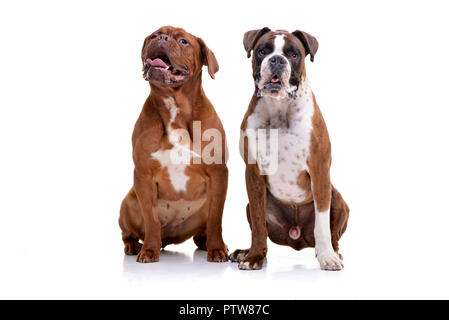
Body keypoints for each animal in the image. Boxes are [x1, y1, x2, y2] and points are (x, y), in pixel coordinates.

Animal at [119, 26, 228, 262]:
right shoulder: (143, 175)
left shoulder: (218, 174)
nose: (161, 38)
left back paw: (206, 243)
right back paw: (134, 246)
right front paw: (148, 250)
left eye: (183, 41)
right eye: (153, 35)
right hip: (128, 203)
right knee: (128, 233)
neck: (174, 105)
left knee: (204, 229)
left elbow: (216, 218)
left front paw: (217, 249)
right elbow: (151, 218)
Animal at [229, 28, 348, 272]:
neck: (279, 109)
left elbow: (322, 223)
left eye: (294, 55)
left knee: (333, 235)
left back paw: (334, 253)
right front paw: (254, 256)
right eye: (262, 51)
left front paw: (327, 257)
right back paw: (246, 252)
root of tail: (297, 235)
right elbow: (258, 223)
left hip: (338, 198)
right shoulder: (253, 173)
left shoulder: (320, 170)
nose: (277, 60)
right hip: (249, 204)